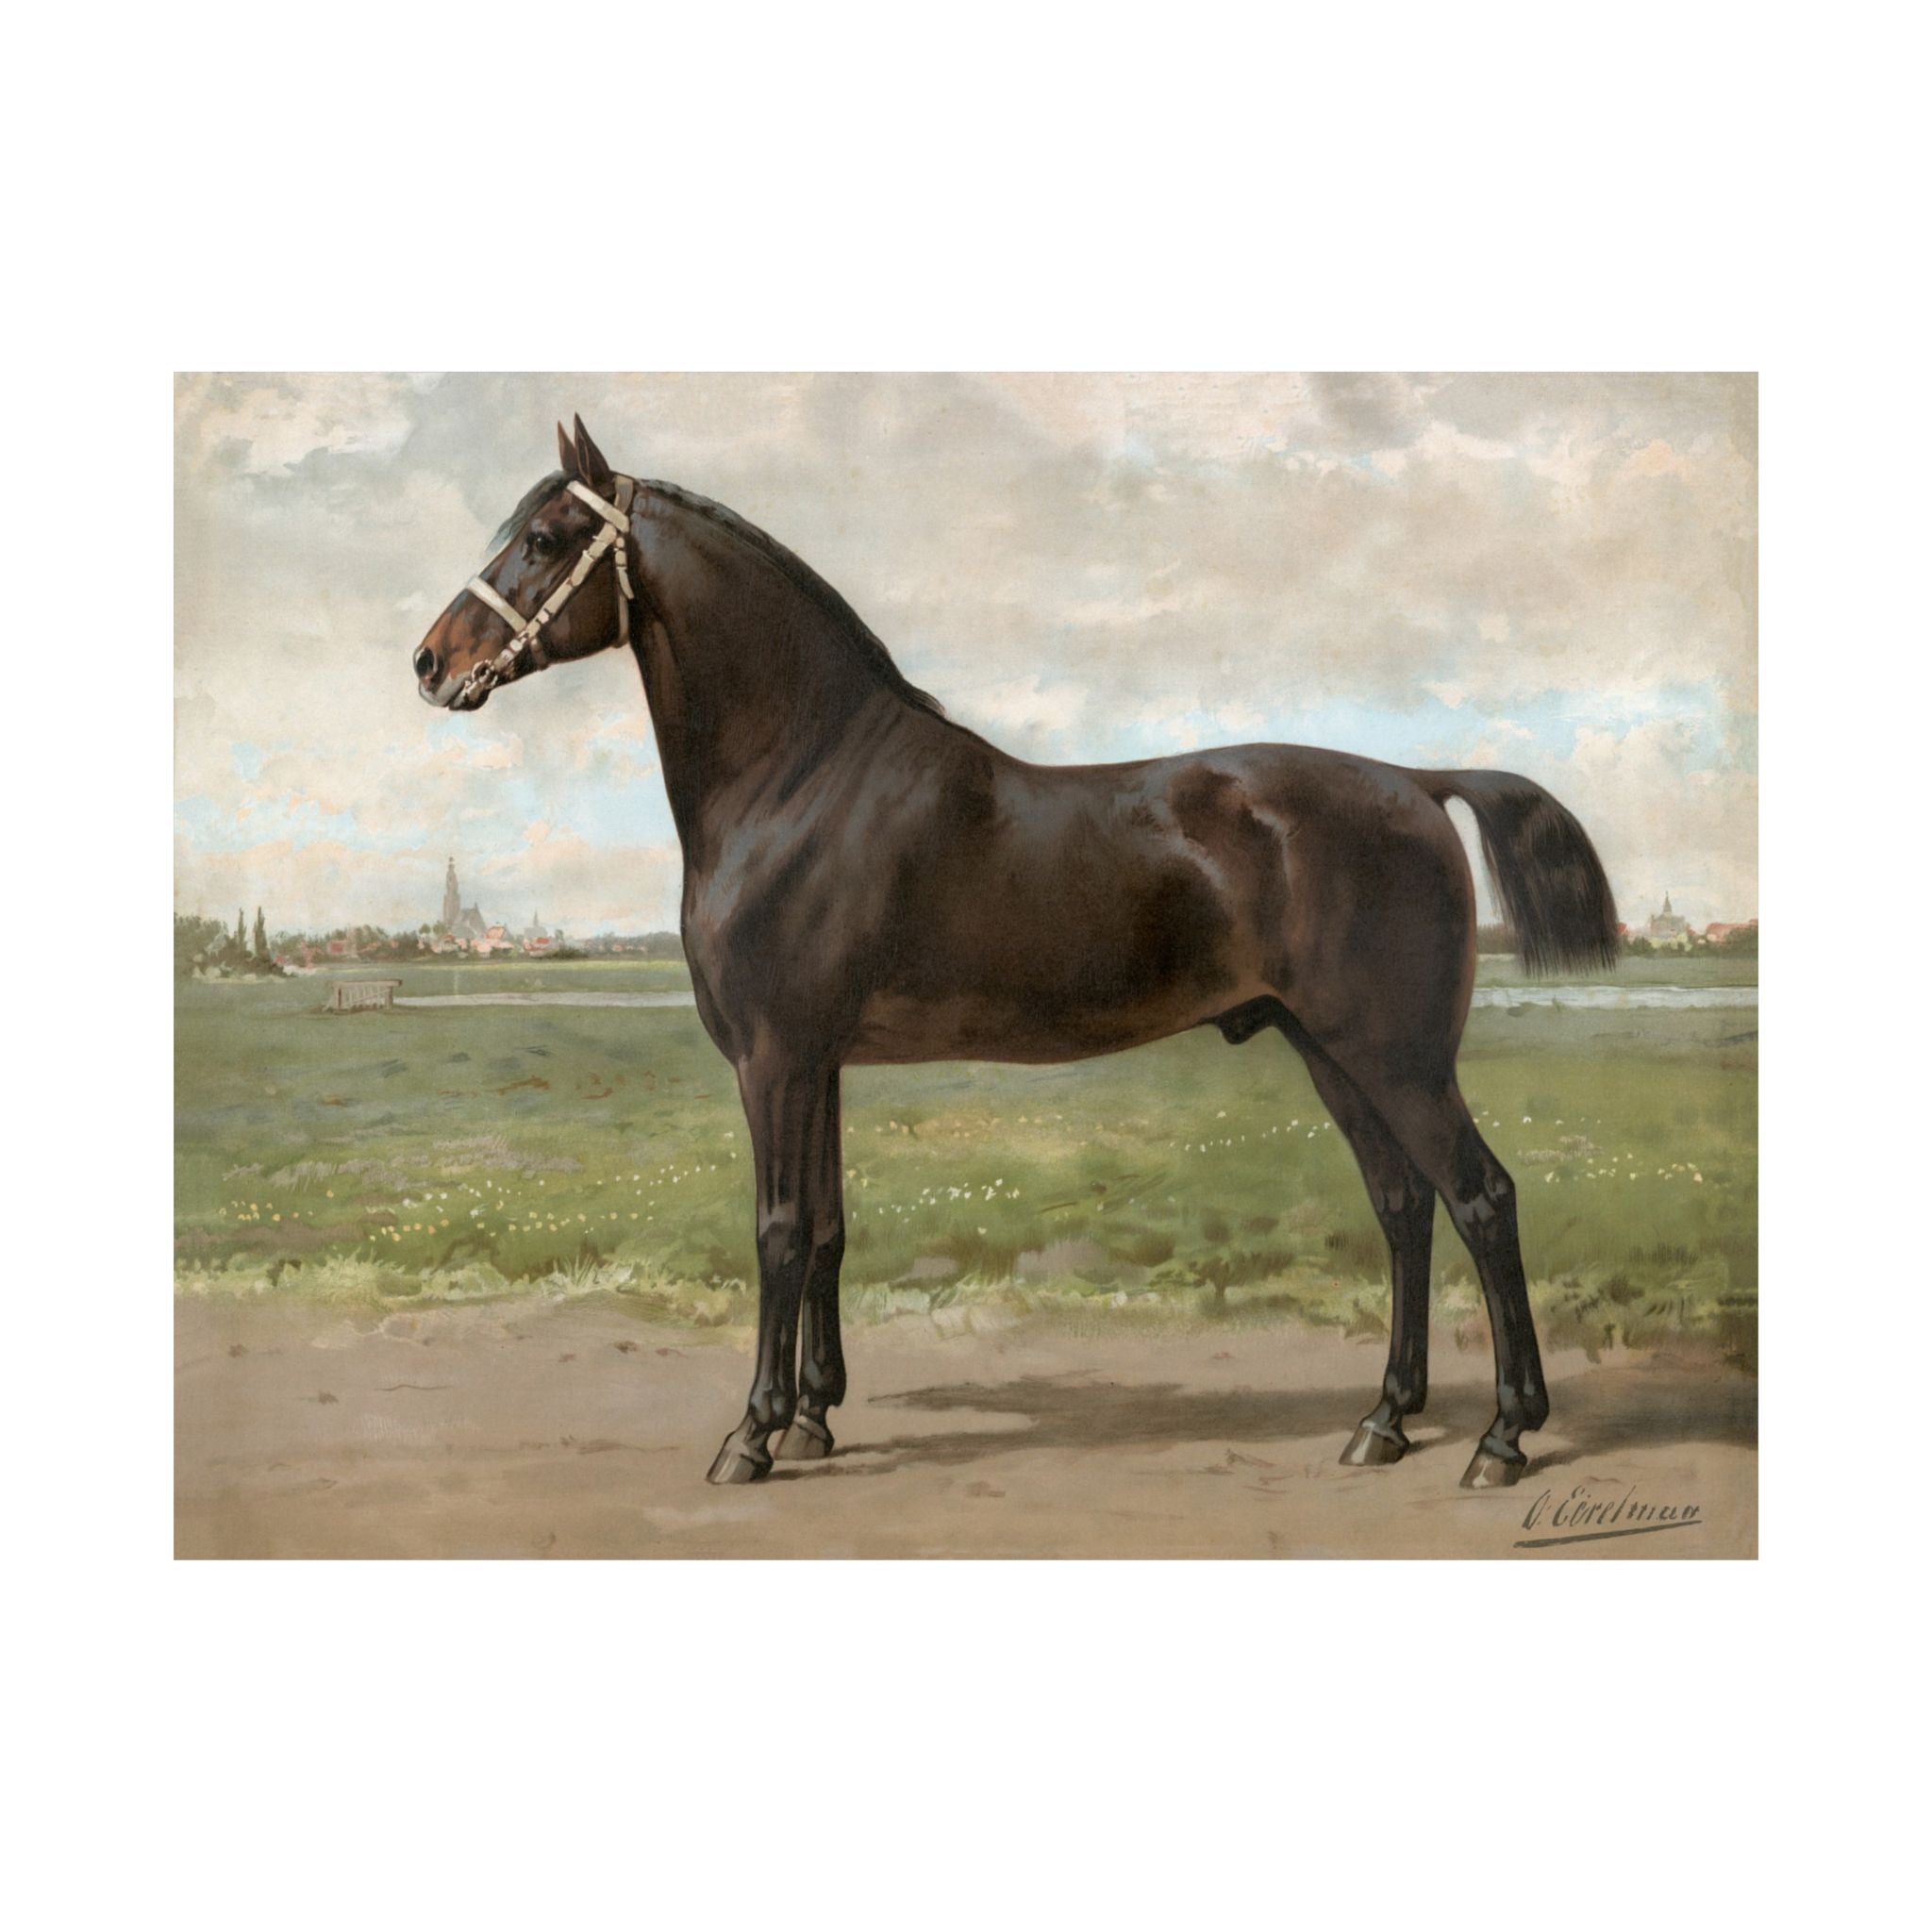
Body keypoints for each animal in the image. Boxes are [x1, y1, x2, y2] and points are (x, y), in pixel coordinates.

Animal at [413, 417, 1619, 1492]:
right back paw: (1383, 1421)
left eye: (546, 537)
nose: (430, 663)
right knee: (1404, 1207)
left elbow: (777, 1231)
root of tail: (1417, 783)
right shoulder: (820, 1063)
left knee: (1479, 1199)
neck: (801, 780)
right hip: (1329, 1050)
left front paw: (750, 1435)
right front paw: (814, 1419)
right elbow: (830, 1231)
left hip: (1394, 1056)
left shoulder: (773, 1059)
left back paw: (1500, 1437)